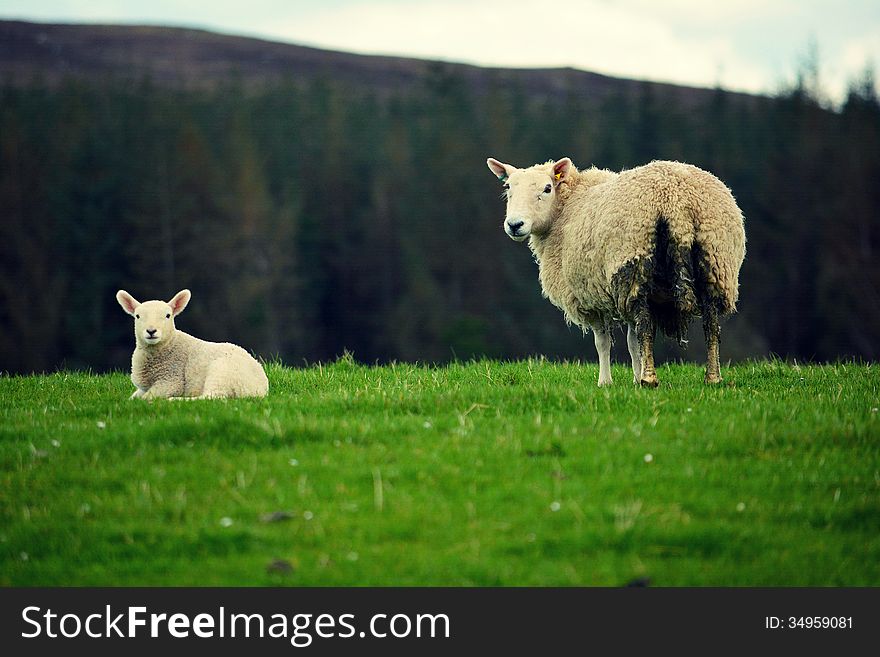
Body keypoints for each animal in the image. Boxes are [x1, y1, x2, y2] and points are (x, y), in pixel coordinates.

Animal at [117, 288, 268, 400]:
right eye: (137, 316)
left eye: (168, 315)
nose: (151, 331)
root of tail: (259, 389)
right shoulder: (144, 388)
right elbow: (133, 398)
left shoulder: (171, 379)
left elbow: (146, 398)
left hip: (223, 372)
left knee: (212, 397)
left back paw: (175, 400)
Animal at [484, 157, 744, 386]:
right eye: (507, 187)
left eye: (547, 188)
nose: (514, 225)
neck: (565, 208)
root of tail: (675, 200)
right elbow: (631, 341)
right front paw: (633, 377)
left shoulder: (591, 297)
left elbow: (605, 342)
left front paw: (607, 382)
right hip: (716, 263)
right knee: (711, 325)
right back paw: (712, 377)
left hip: (633, 262)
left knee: (646, 325)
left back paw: (650, 379)